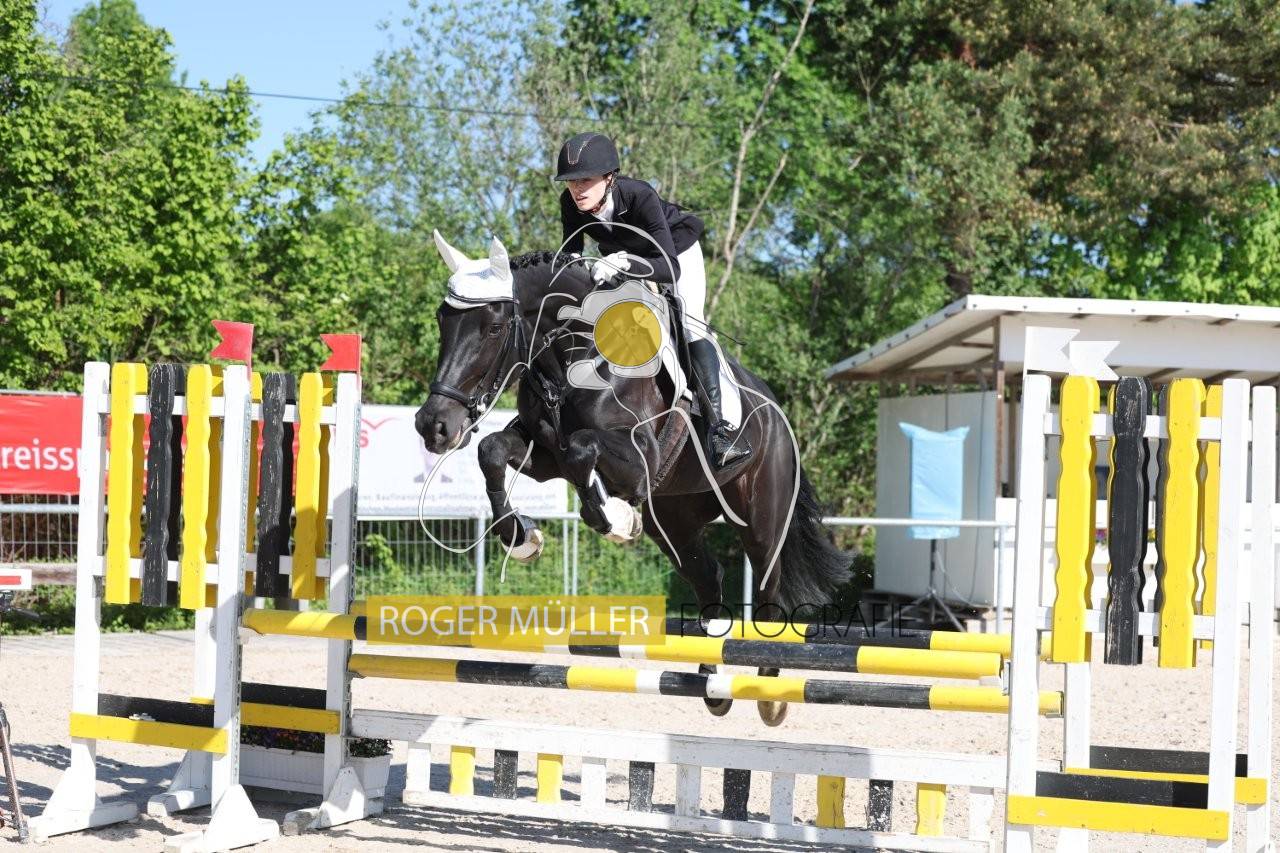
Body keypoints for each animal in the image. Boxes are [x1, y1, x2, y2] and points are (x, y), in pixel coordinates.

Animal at [415, 232, 852, 725]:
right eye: (442, 320)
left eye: (492, 327)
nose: (433, 426)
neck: (573, 359)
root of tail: (778, 412)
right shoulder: (544, 455)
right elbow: (494, 451)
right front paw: (521, 538)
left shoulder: (638, 459)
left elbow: (582, 449)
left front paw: (618, 521)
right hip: (675, 521)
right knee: (707, 577)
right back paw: (713, 680)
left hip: (762, 517)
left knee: (768, 587)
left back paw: (768, 689)